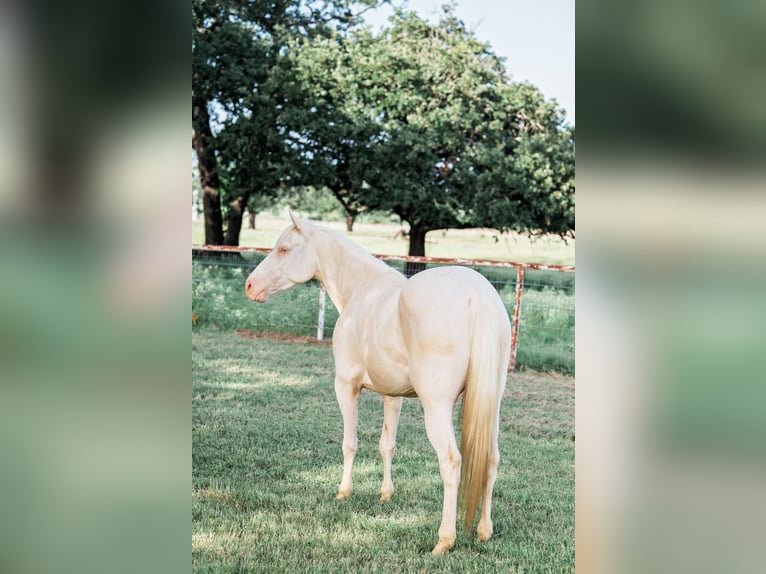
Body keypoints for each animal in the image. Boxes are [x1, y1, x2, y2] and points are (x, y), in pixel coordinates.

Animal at [245, 213, 511, 554]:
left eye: (284, 249)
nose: (250, 285)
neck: (363, 291)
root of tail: (477, 297)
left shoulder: (346, 386)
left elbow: (350, 443)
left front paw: (344, 492)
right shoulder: (392, 396)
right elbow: (387, 445)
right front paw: (385, 494)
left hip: (437, 408)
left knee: (451, 462)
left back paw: (444, 540)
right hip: (491, 406)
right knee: (490, 459)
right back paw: (484, 531)